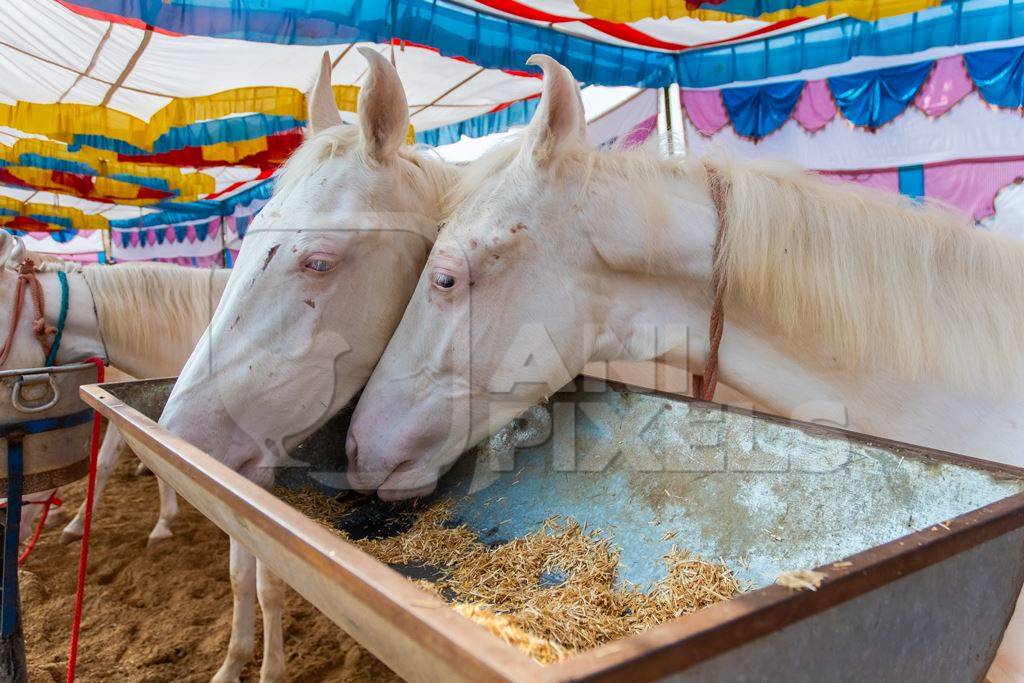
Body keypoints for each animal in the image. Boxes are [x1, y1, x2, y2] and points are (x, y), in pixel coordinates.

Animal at [158, 50, 452, 679]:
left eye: (318, 262)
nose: (181, 447)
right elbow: (245, 575)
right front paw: (234, 662)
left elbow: (268, 581)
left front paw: (268, 669)